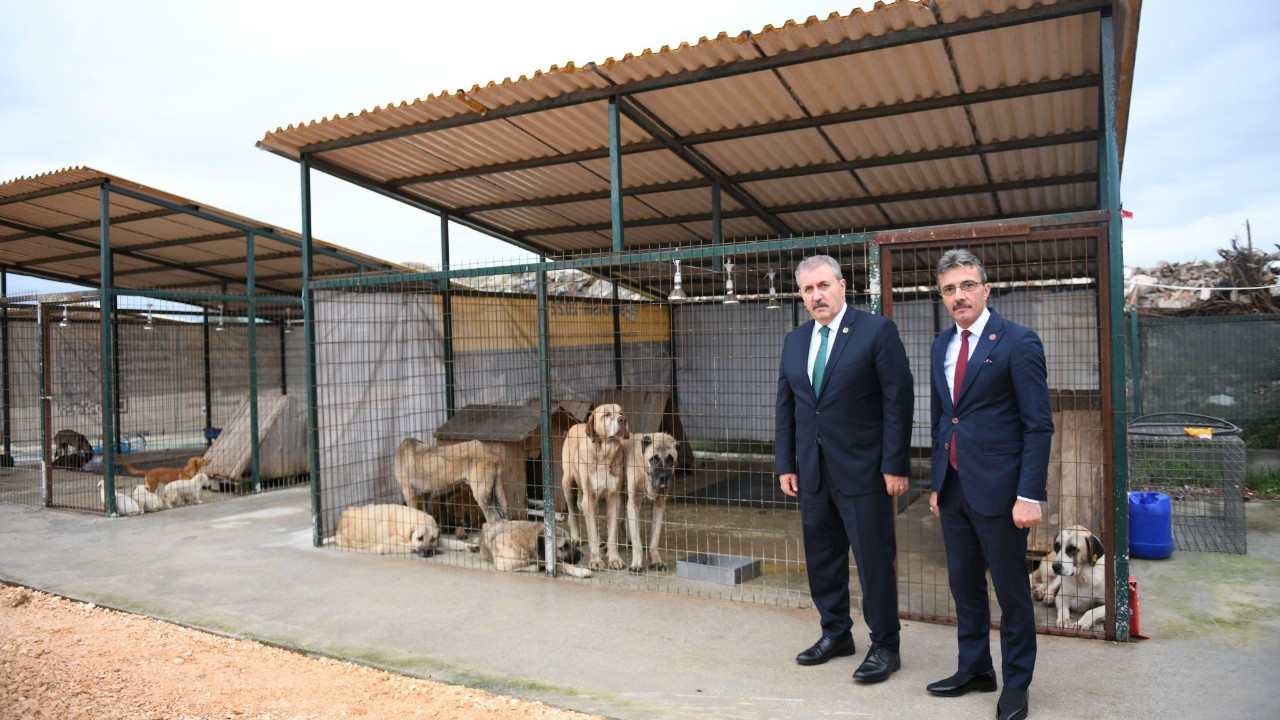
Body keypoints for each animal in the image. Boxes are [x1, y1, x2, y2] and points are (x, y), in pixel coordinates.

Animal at [563, 399, 632, 568]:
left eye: (621, 413)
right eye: (607, 414)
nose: (623, 420)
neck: (605, 454)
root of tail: (576, 425)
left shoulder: (614, 498)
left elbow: (612, 532)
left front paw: (614, 559)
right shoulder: (589, 496)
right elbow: (592, 532)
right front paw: (595, 560)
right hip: (567, 483)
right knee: (573, 511)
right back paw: (575, 536)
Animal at [622, 430, 680, 571]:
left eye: (670, 460)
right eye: (654, 459)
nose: (664, 477)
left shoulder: (659, 504)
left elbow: (655, 536)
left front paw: (656, 560)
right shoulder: (634, 502)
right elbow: (637, 540)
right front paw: (637, 563)